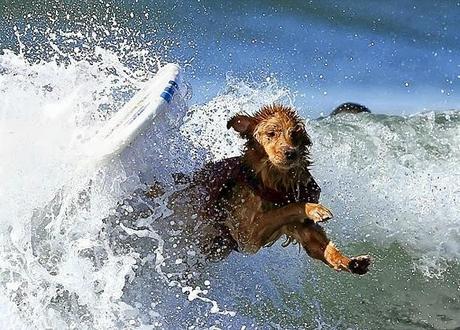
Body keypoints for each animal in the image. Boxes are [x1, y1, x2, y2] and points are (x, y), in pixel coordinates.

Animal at [162, 104, 370, 274]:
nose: (290, 153)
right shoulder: (247, 235)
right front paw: (314, 209)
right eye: (271, 133)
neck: (272, 180)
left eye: (294, 135)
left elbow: (322, 246)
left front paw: (350, 261)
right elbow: (288, 208)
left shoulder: (299, 227)